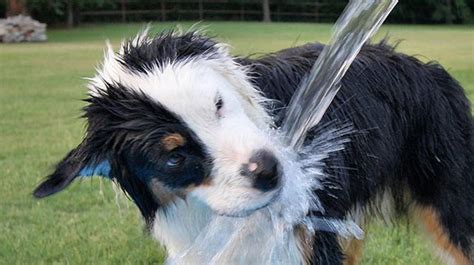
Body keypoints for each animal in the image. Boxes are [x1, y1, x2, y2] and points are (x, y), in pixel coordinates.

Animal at [34, 29, 474, 262]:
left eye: (218, 103)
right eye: (174, 157)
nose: (269, 169)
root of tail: (427, 67)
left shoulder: (308, 238)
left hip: (447, 199)